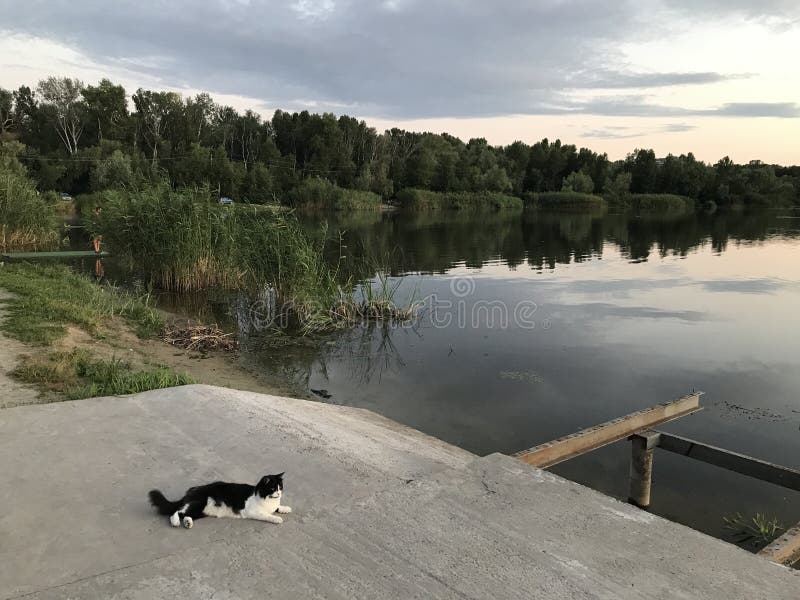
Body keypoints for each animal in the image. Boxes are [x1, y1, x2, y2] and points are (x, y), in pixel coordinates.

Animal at [149, 472, 290, 528]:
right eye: (272, 488)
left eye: (280, 487)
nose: (279, 493)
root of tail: (191, 490)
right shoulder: (251, 511)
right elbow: (267, 515)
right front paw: (277, 518)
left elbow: (277, 507)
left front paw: (285, 508)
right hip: (199, 503)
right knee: (176, 512)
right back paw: (176, 522)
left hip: (200, 511)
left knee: (185, 514)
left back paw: (188, 523)